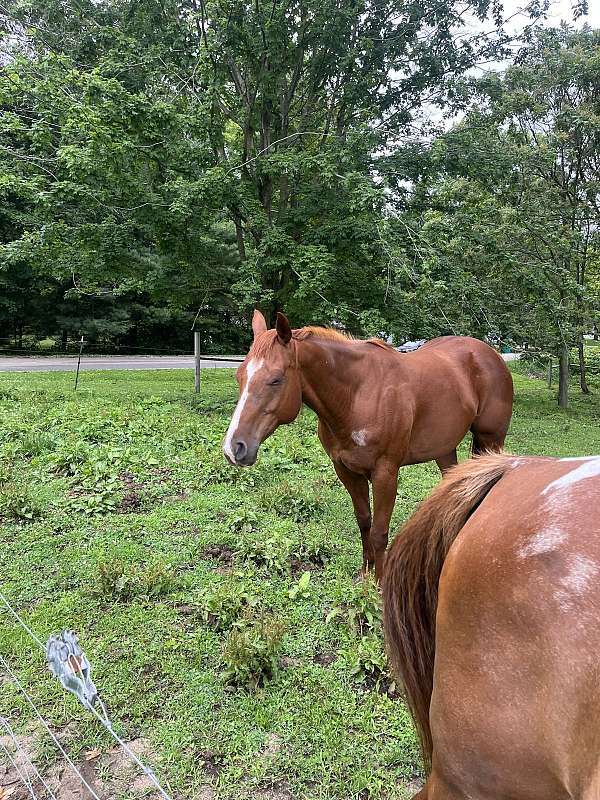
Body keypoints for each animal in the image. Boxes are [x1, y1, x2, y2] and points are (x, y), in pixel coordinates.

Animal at [223, 310, 513, 579]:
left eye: (276, 379)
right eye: (239, 376)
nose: (233, 448)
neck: (356, 396)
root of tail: (489, 354)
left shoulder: (385, 473)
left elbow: (379, 532)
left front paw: (379, 582)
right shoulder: (346, 470)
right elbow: (364, 521)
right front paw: (365, 574)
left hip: (492, 440)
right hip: (444, 449)